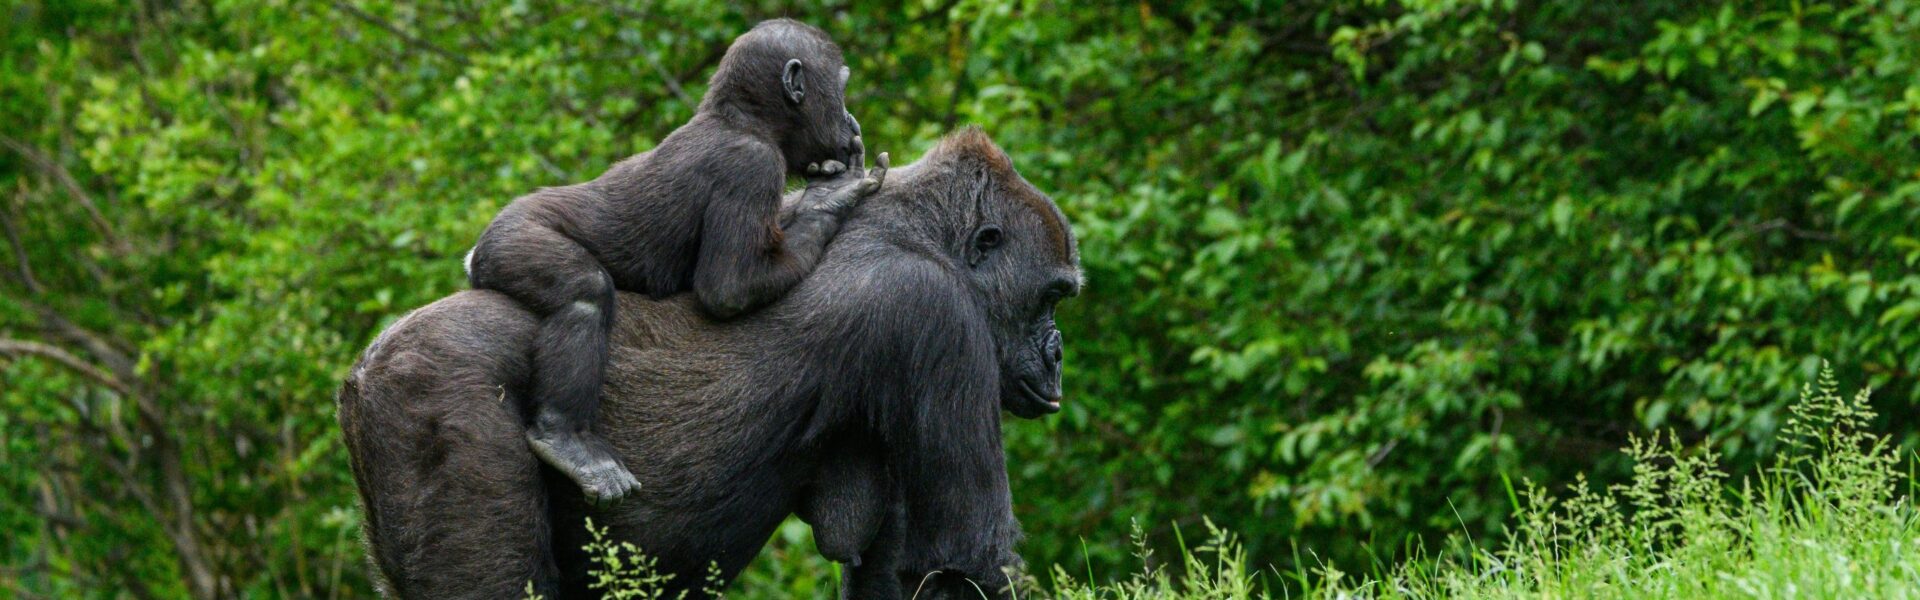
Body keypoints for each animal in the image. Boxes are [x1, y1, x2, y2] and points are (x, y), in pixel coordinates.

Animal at [461, 19, 885, 505]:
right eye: (841, 88)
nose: (849, 119)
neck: (746, 121)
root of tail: (473, 253)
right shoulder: (752, 167)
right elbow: (729, 288)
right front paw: (829, 204)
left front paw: (824, 196)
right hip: (512, 238)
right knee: (584, 293)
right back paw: (564, 437)